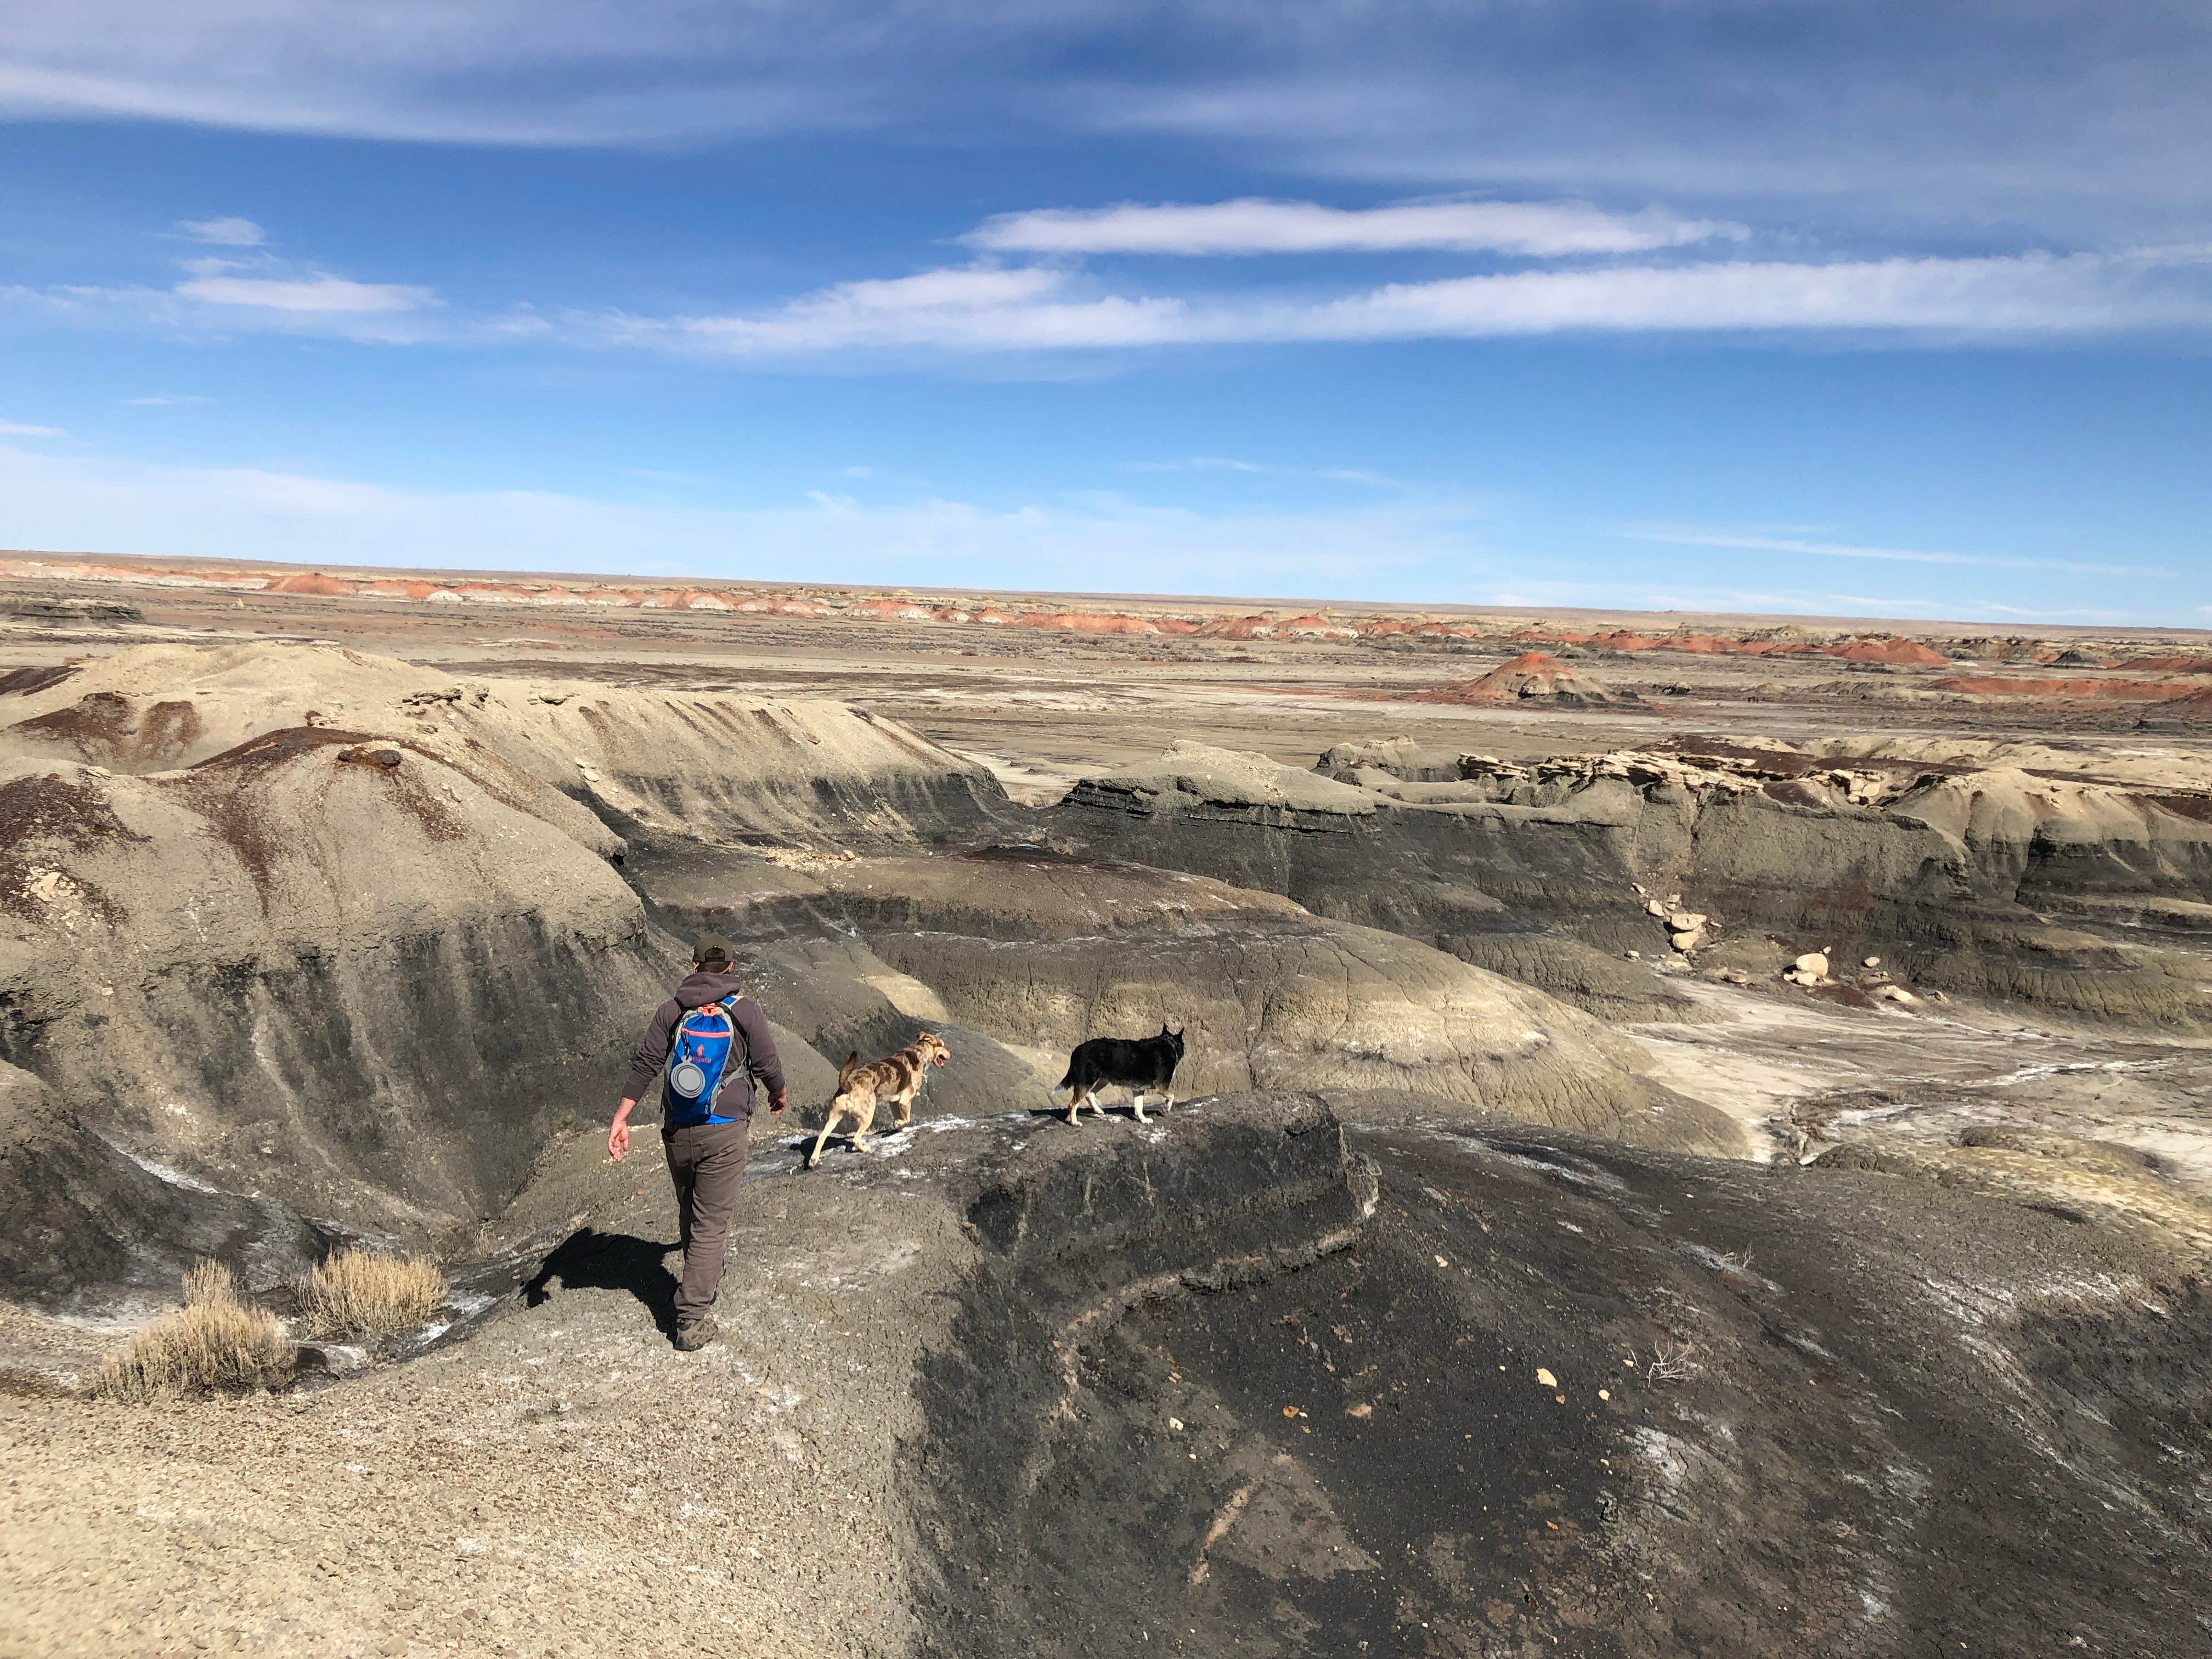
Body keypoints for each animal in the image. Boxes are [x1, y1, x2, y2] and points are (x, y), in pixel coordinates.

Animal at [814, 1026, 951, 1167]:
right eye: (943, 1046)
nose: (950, 1055)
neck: (920, 1052)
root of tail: (847, 1085)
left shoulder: (894, 1102)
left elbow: (899, 1117)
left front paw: (898, 1127)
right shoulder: (905, 1100)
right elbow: (907, 1119)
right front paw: (898, 1124)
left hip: (834, 1117)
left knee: (822, 1136)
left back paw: (813, 1160)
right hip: (868, 1115)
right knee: (856, 1139)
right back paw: (865, 1149)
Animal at [1057, 1026, 1186, 1132]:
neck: (1169, 1044)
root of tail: (1078, 1049)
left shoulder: (1138, 1089)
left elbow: (1139, 1107)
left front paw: (1143, 1120)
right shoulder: (1161, 1086)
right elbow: (1172, 1096)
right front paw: (1166, 1108)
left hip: (1102, 1080)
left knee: (1089, 1095)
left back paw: (1098, 1111)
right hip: (1087, 1081)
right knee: (1072, 1104)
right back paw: (1074, 1122)